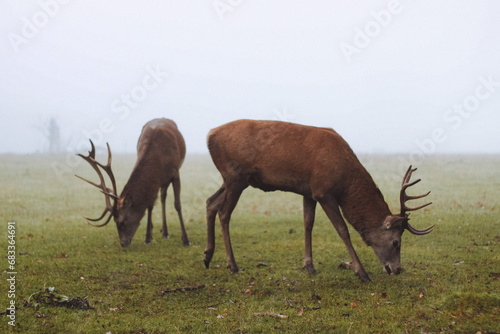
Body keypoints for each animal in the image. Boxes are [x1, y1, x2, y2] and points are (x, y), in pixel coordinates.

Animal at [75, 118, 189, 247]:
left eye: (122, 222)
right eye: (114, 221)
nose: (123, 243)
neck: (159, 160)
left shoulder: (175, 173)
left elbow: (177, 205)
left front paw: (185, 240)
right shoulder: (154, 182)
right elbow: (149, 205)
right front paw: (147, 238)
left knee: (163, 197)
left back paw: (165, 232)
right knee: (162, 197)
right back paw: (162, 231)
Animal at [203, 120, 434, 282]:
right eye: (396, 241)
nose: (396, 269)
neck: (345, 181)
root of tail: (209, 135)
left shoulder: (309, 191)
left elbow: (308, 224)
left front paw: (309, 266)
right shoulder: (324, 191)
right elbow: (343, 230)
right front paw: (362, 272)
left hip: (231, 180)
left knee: (210, 202)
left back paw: (207, 256)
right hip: (236, 176)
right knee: (224, 213)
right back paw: (232, 265)